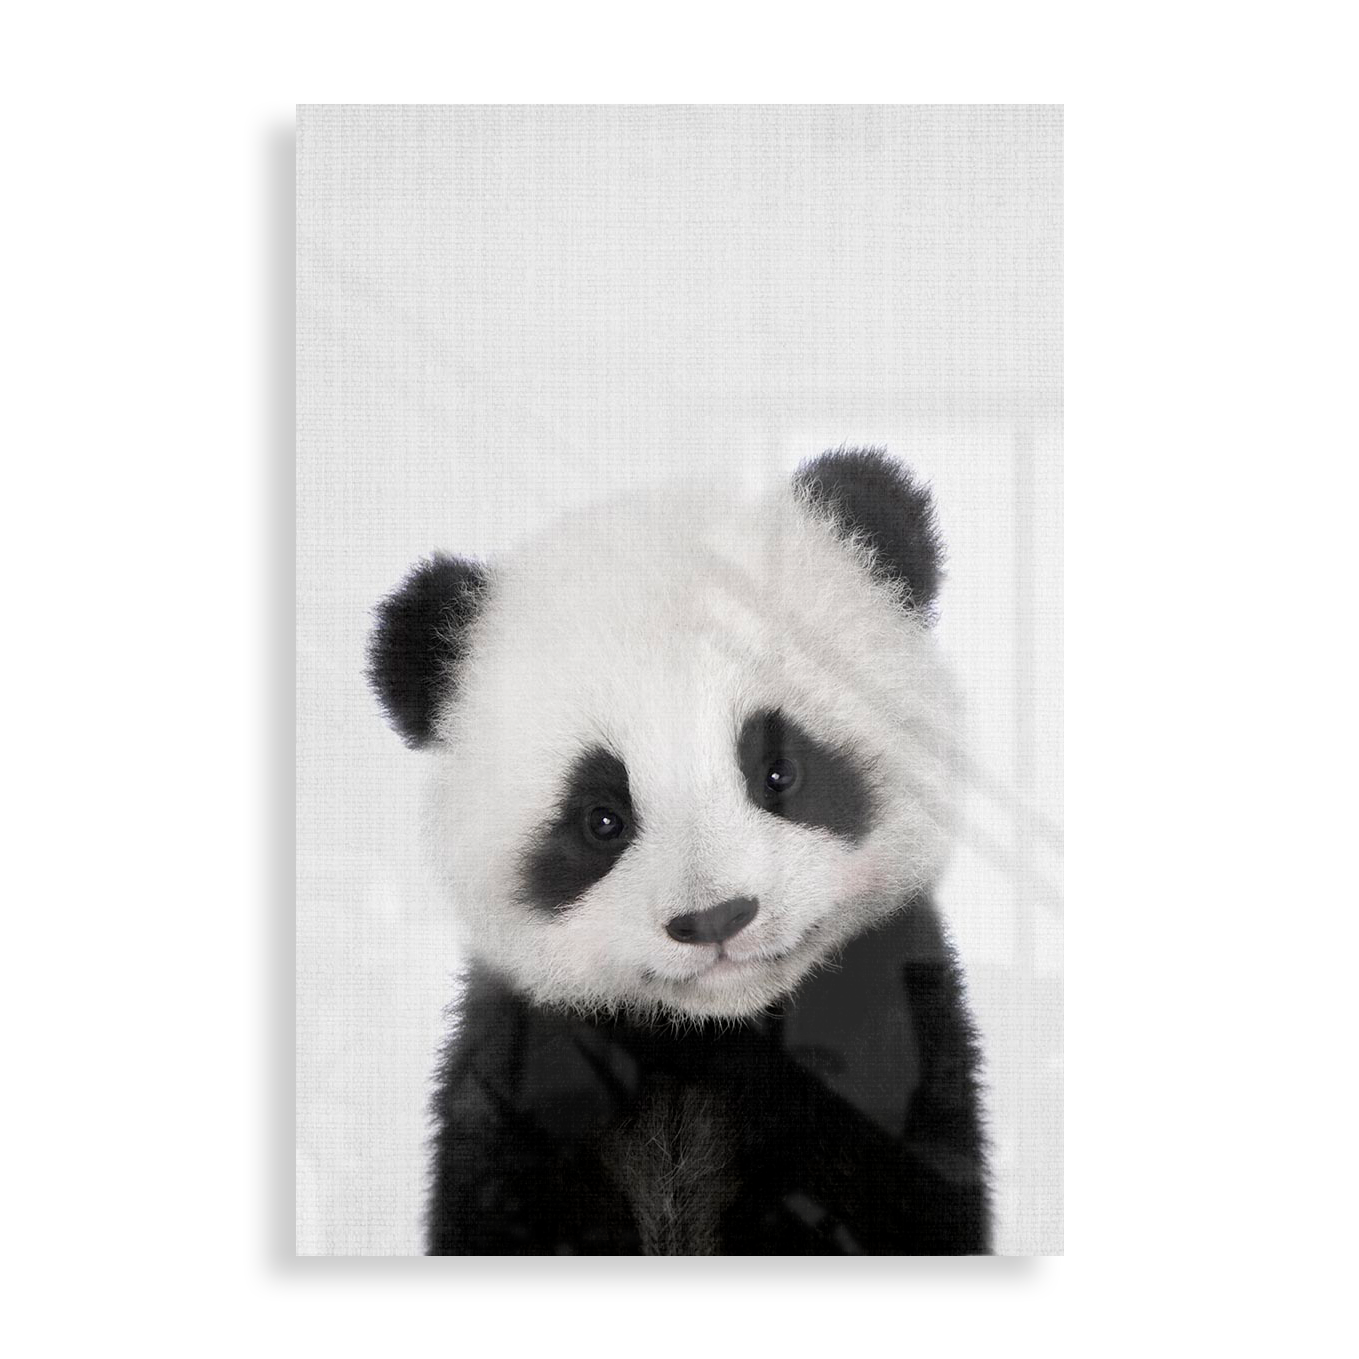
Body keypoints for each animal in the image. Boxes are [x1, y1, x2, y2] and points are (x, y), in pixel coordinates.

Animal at [368, 447, 989, 1256]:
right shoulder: (524, 1082)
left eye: (779, 771)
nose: (716, 918)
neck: (704, 1037)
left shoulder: (890, 1040)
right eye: (602, 819)